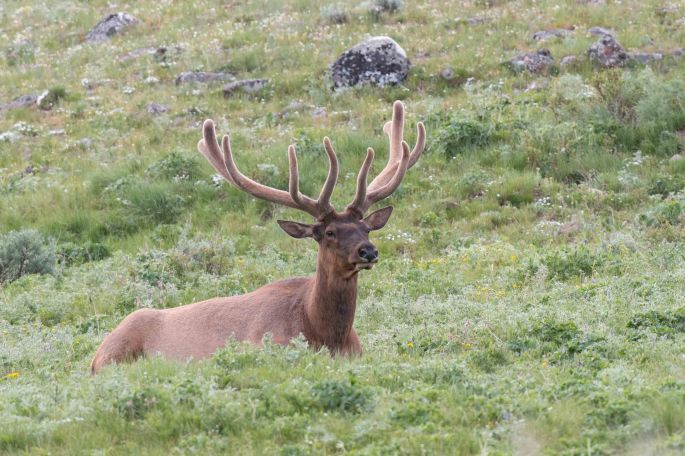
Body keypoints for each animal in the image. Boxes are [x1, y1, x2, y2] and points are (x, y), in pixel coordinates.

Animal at [90, 101, 425, 374]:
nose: (368, 251)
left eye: (366, 228)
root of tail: (93, 358)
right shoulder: (269, 343)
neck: (324, 332)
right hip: (119, 348)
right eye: (329, 232)